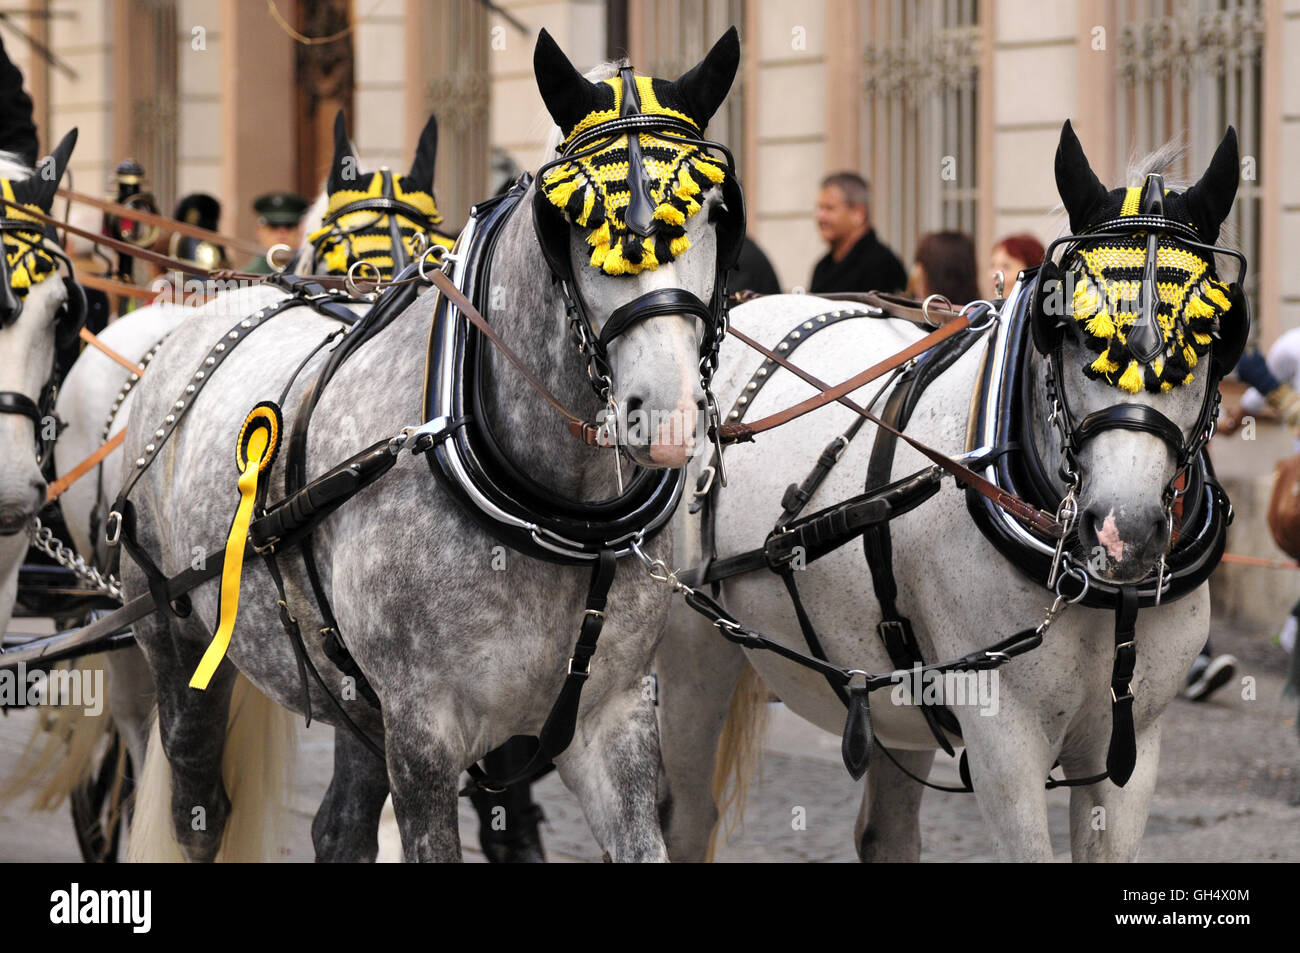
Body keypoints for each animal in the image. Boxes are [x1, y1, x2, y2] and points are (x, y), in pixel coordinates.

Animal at [655, 120, 1242, 863]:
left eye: (1208, 334)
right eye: (1070, 328)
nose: (1124, 533)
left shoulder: (1132, 753)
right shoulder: (1004, 746)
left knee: (885, 832)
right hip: (691, 650)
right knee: (684, 817)